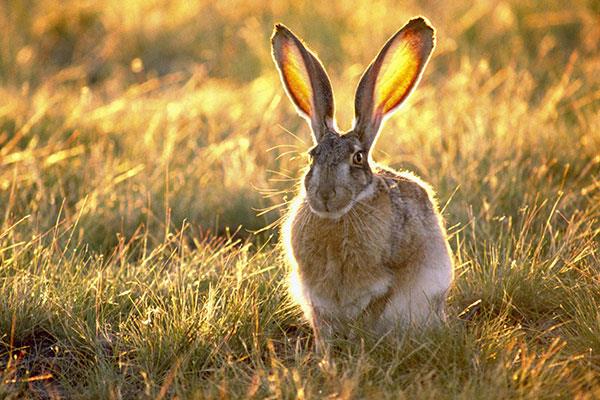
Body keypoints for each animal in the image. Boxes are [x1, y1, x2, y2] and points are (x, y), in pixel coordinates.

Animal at [270, 17, 452, 346]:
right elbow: (323, 324)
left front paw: (359, 344)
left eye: (357, 158)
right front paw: (325, 353)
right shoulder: (314, 295)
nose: (325, 195)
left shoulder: (388, 282)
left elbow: (372, 312)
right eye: (312, 156)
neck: (339, 218)